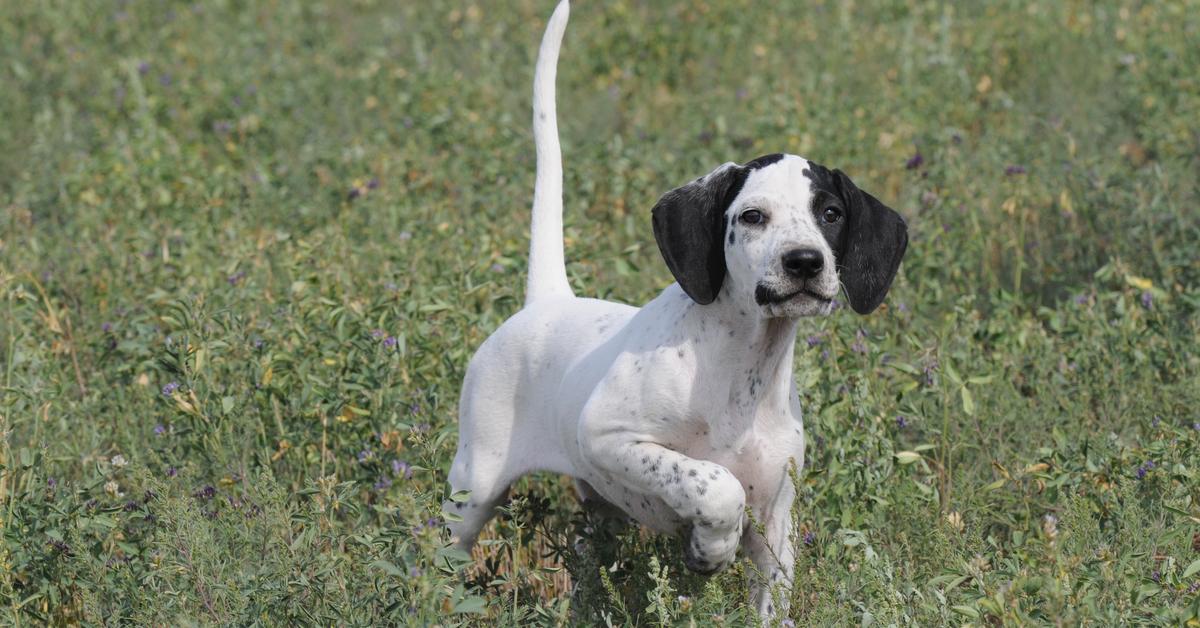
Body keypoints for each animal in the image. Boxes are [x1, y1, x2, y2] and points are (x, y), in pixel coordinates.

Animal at [444, 0, 907, 619]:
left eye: (830, 213)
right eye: (752, 216)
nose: (805, 262)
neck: (741, 371)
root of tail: (548, 299)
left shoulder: (776, 530)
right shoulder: (606, 434)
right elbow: (713, 482)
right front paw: (710, 548)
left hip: (598, 515)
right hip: (474, 488)